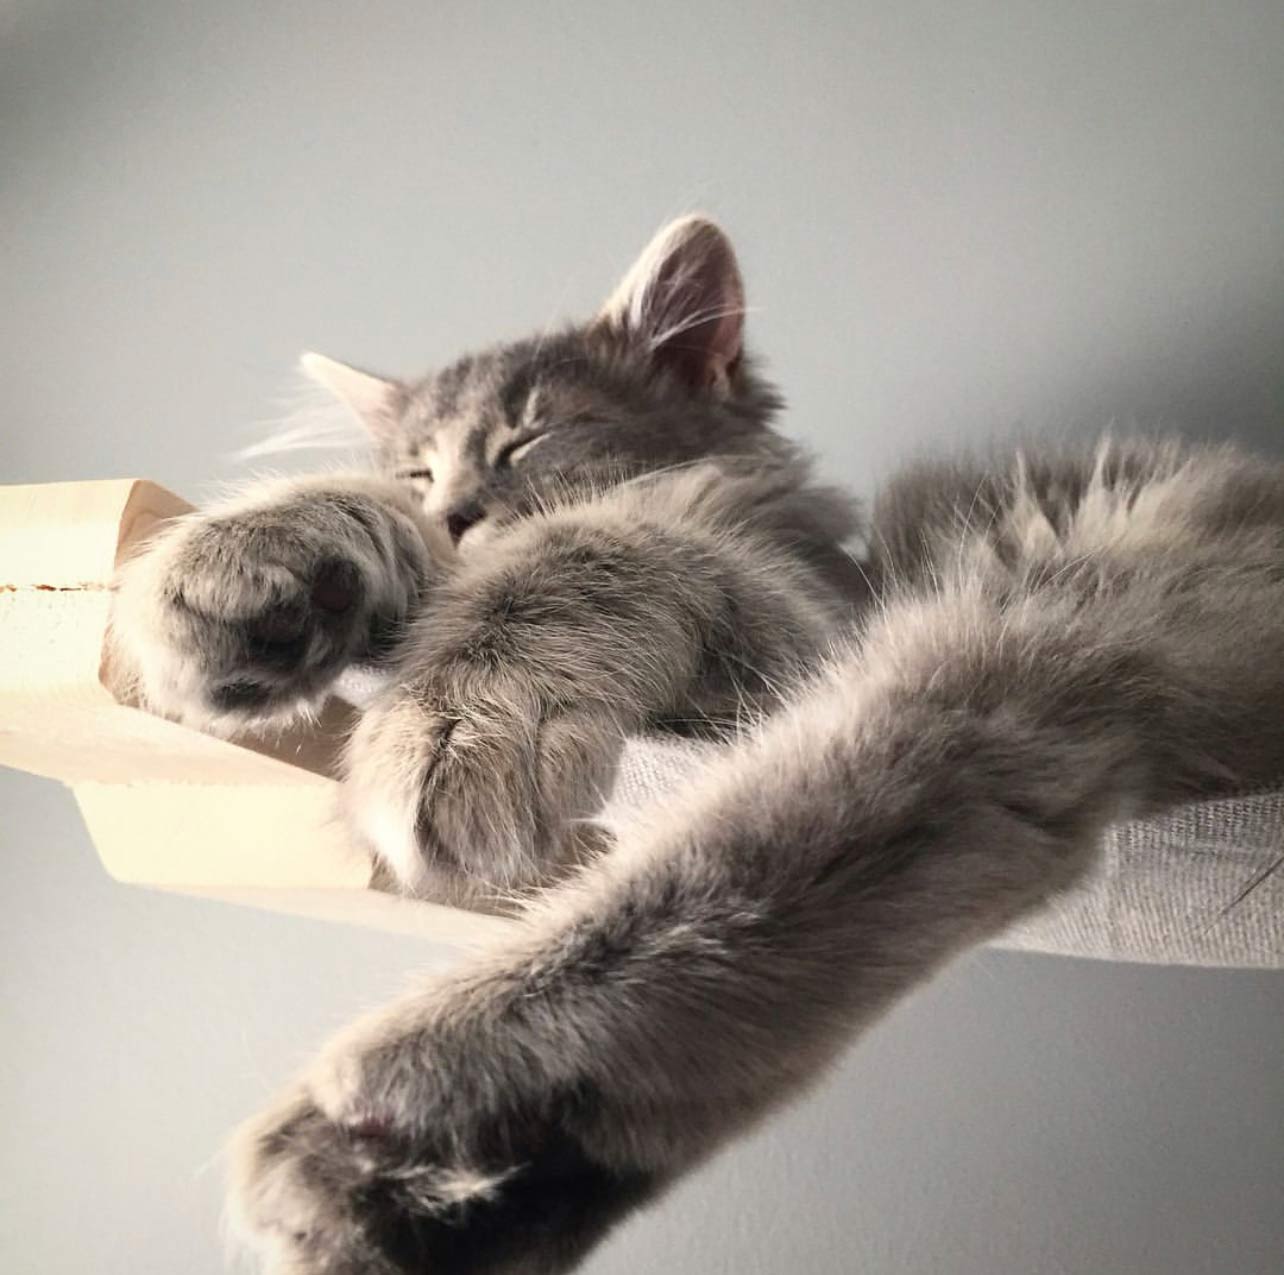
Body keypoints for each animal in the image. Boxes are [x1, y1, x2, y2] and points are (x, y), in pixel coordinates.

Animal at [107, 218, 1284, 1273]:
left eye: (530, 438)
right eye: (413, 473)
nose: (454, 510)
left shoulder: (801, 621)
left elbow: (591, 545)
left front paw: (455, 714)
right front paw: (244, 564)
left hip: (1047, 619)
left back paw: (417, 1112)